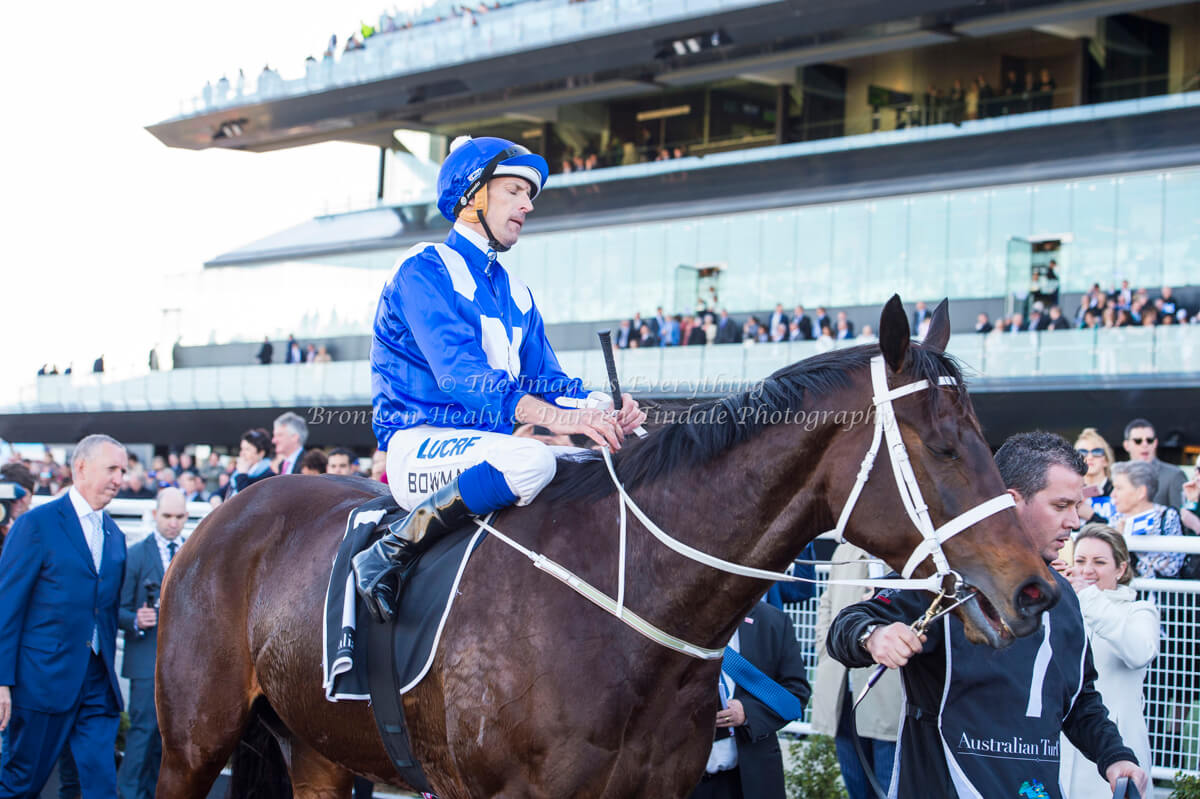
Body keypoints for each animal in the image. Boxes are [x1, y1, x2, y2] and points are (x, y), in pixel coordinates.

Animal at [154, 297, 1056, 796]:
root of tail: (230, 511)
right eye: (944, 445)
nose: (1034, 590)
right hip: (191, 744)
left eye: (985, 437)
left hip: (320, 746)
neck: (631, 605)